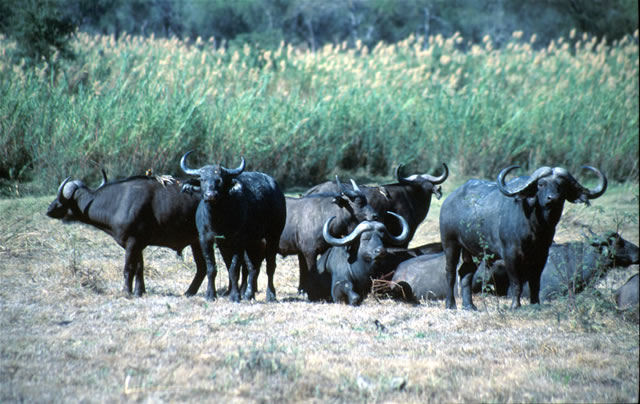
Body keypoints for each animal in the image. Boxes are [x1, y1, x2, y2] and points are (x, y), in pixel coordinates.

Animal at [182, 152, 288, 304]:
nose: (210, 195)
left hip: (274, 235)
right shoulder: (206, 240)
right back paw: (248, 294)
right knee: (252, 267)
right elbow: (212, 268)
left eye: (220, 180)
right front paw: (211, 294)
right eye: (202, 179)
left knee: (270, 265)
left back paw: (270, 295)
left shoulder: (238, 242)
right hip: (252, 241)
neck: (218, 219)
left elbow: (234, 269)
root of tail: (276, 188)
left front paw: (235, 296)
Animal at [440, 164, 604, 310]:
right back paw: (451, 304)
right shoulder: (510, 255)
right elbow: (516, 282)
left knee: (465, 273)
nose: (553, 198)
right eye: (541, 184)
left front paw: (535, 303)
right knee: (450, 272)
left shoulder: (541, 255)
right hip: (450, 244)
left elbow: (535, 282)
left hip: (474, 251)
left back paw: (469, 306)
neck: (535, 226)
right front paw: (515, 305)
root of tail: (448, 200)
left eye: (562, 185)